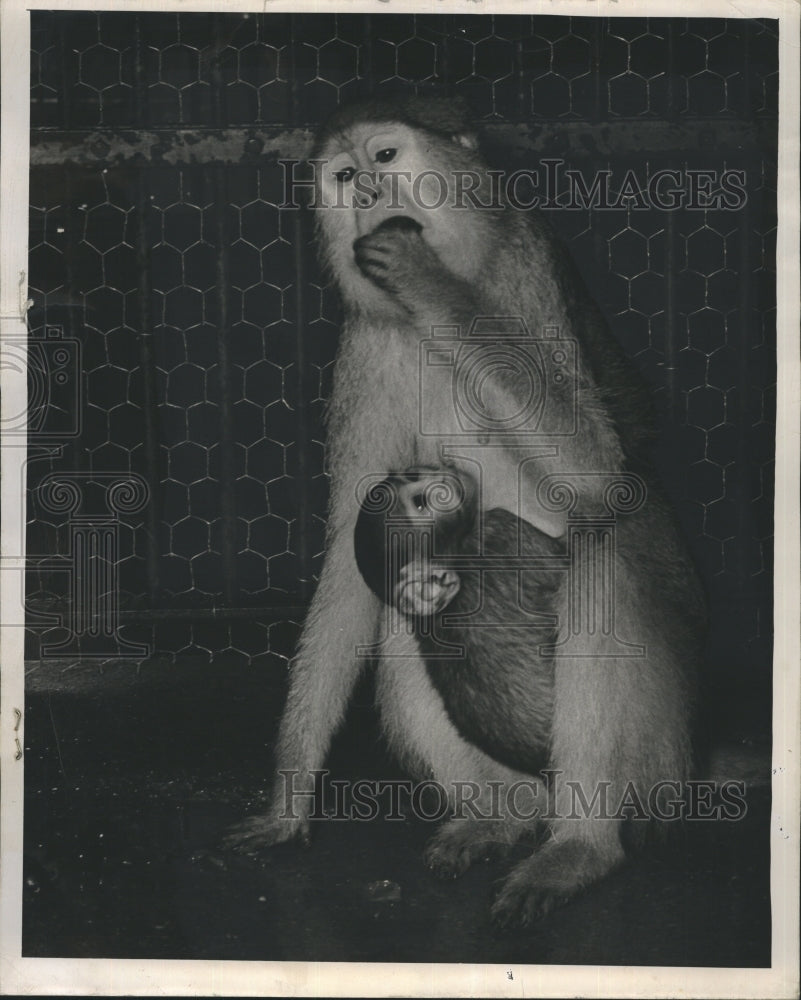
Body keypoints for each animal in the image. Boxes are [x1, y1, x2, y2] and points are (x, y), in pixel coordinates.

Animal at [223, 96, 707, 925]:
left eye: (386, 156)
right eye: (344, 176)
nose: (366, 193)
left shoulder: (523, 266)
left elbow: (600, 477)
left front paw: (428, 279)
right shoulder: (368, 344)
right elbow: (353, 559)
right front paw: (289, 797)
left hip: (663, 765)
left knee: (600, 560)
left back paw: (580, 847)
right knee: (403, 608)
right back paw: (503, 816)